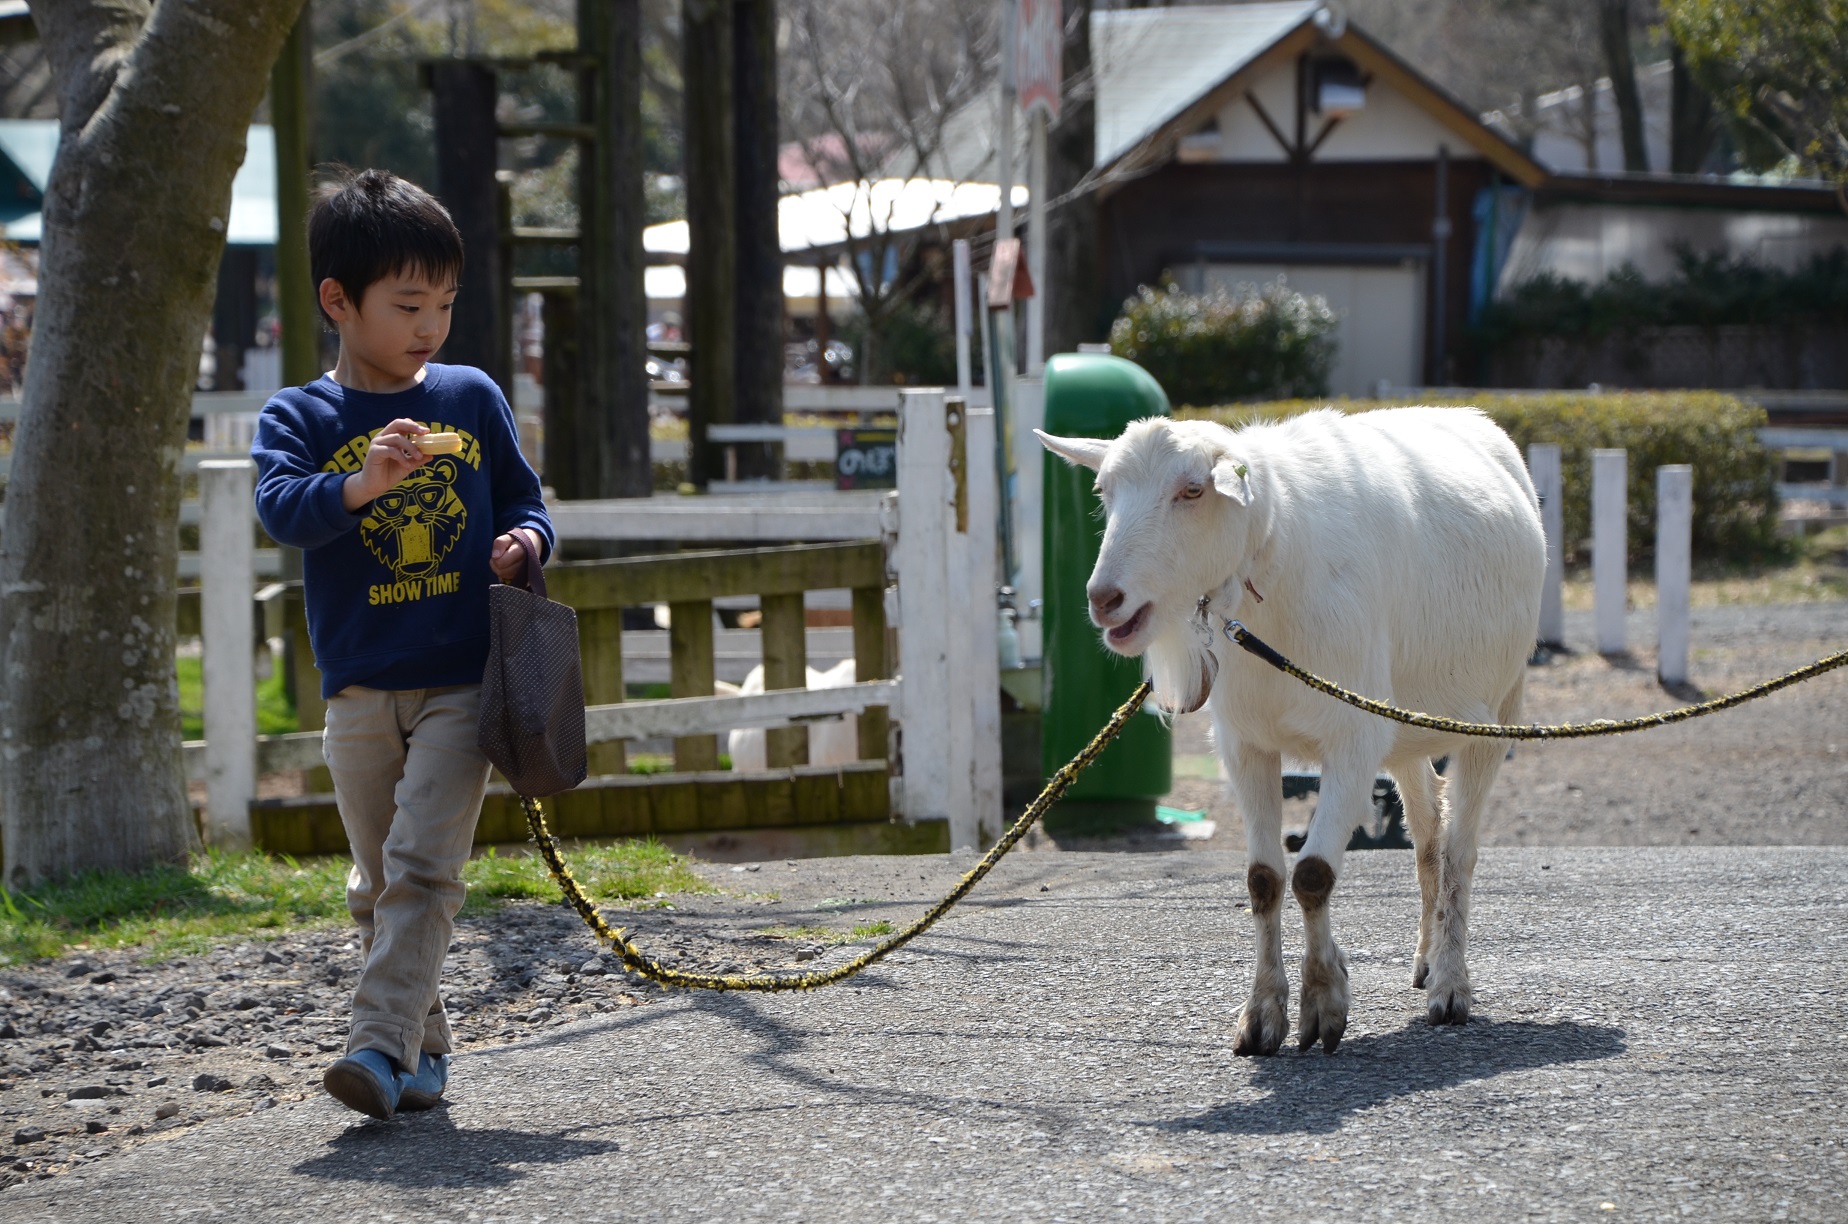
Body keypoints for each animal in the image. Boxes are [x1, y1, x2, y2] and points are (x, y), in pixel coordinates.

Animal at [1042, 406, 1544, 1057]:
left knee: (1461, 847)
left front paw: (1324, 1004)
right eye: (1104, 491)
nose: (1105, 599)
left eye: (1192, 490)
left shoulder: (1351, 739)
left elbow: (1313, 873)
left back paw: (1450, 987)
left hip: (1496, 708)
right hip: (1404, 721)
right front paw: (1261, 1016)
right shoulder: (1247, 744)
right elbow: (1263, 879)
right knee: (1428, 832)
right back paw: (1427, 960)